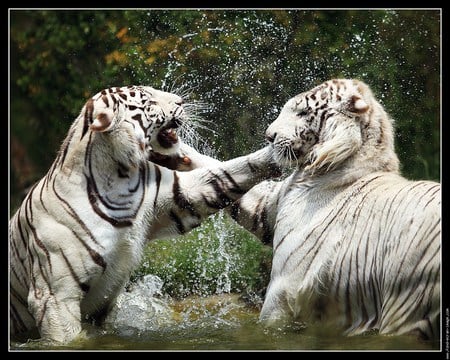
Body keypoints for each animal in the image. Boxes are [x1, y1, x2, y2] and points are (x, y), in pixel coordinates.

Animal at [8, 84, 280, 344]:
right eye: (148, 100)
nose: (181, 101)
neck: (119, 179)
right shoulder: (56, 296)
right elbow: (67, 338)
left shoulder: (181, 195)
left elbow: (229, 172)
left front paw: (280, 147)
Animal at [230, 79, 442, 340]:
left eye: (302, 112)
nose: (269, 136)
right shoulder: (267, 208)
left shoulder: (283, 288)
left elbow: (270, 324)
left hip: (408, 300)